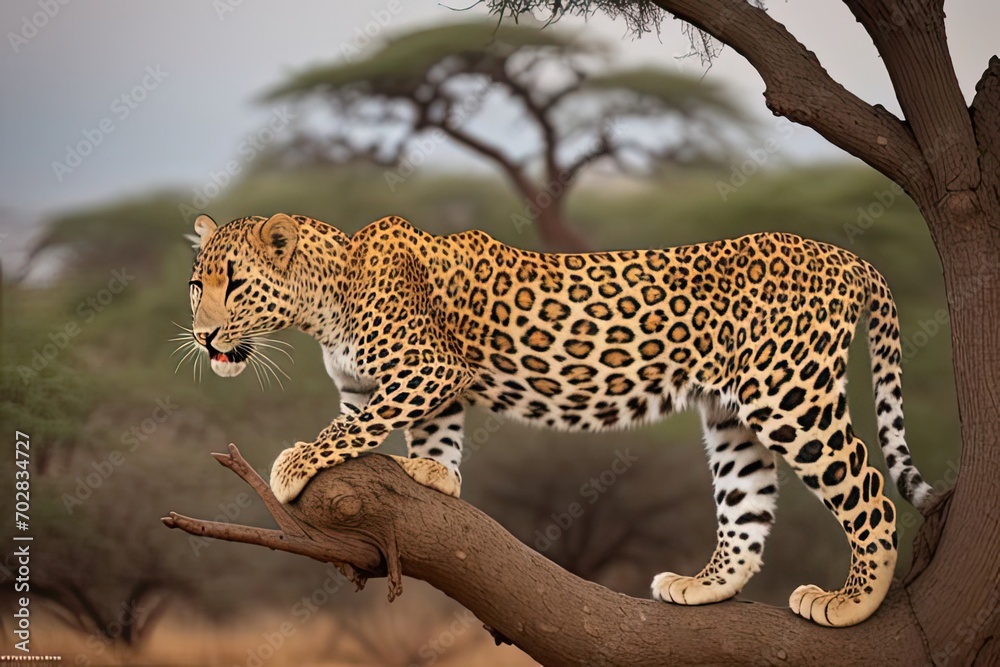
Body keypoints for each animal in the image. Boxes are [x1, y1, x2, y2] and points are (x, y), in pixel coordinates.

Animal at [185, 211, 934, 627]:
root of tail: (845, 255)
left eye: (236, 285)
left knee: (870, 490)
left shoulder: (429, 368)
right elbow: (416, 432)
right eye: (198, 285)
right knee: (746, 510)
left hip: (790, 394)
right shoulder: (405, 387)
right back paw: (700, 586)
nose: (201, 334)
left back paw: (851, 600)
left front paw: (294, 463)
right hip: (732, 413)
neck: (322, 302)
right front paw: (434, 473)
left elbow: (352, 427)